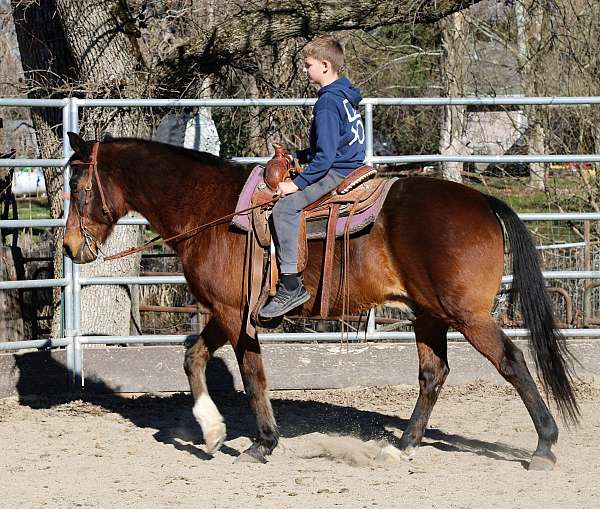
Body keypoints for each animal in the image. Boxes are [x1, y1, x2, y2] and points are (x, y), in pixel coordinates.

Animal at [63, 131, 580, 468]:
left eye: (77, 188)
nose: (69, 247)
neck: (209, 209)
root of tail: (482, 202)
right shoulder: (224, 311)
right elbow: (193, 357)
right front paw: (212, 431)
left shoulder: (234, 314)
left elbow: (253, 376)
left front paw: (263, 443)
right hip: (429, 314)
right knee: (433, 374)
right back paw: (402, 446)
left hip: (467, 315)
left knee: (512, 361)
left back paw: (544, 446)